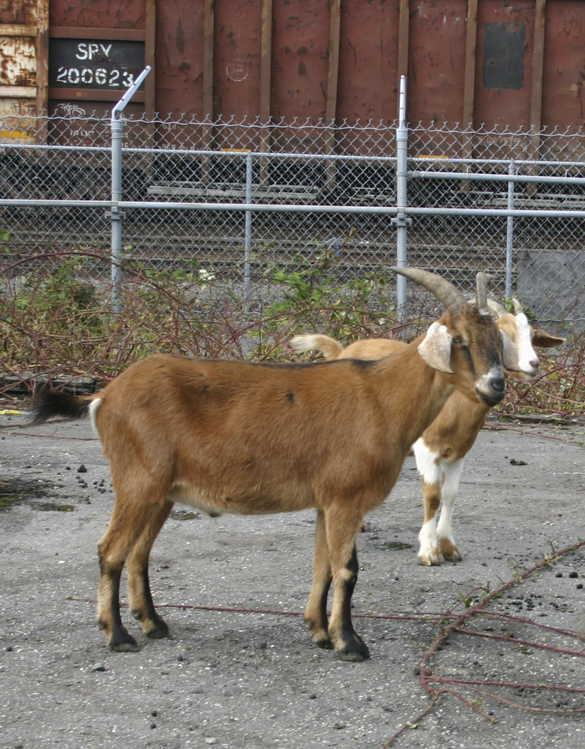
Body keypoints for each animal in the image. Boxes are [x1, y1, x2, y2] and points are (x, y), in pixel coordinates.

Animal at [33, 268, 506, 660]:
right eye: (459, 340)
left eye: (498, 342)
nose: (496, 386)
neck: (382, 398)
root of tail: (105, 395)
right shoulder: (345, 497)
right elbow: (347, 570)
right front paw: (350, 643)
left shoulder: (326, 501)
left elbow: (322, 565)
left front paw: (319, 631)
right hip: (138, 480)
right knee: (110, 549)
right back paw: (117, 635)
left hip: (161, 492)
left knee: (138, 552)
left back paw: (153, 623)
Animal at [290, 298, 560, 568]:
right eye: (501, 336)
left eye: (532, 336)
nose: (533, 364)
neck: (455, 403)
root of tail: (342, 352)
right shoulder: (426, 448)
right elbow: (432, 497)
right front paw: (429, 551)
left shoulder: (459, 452)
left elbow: (450, 494)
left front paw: (449, 547)